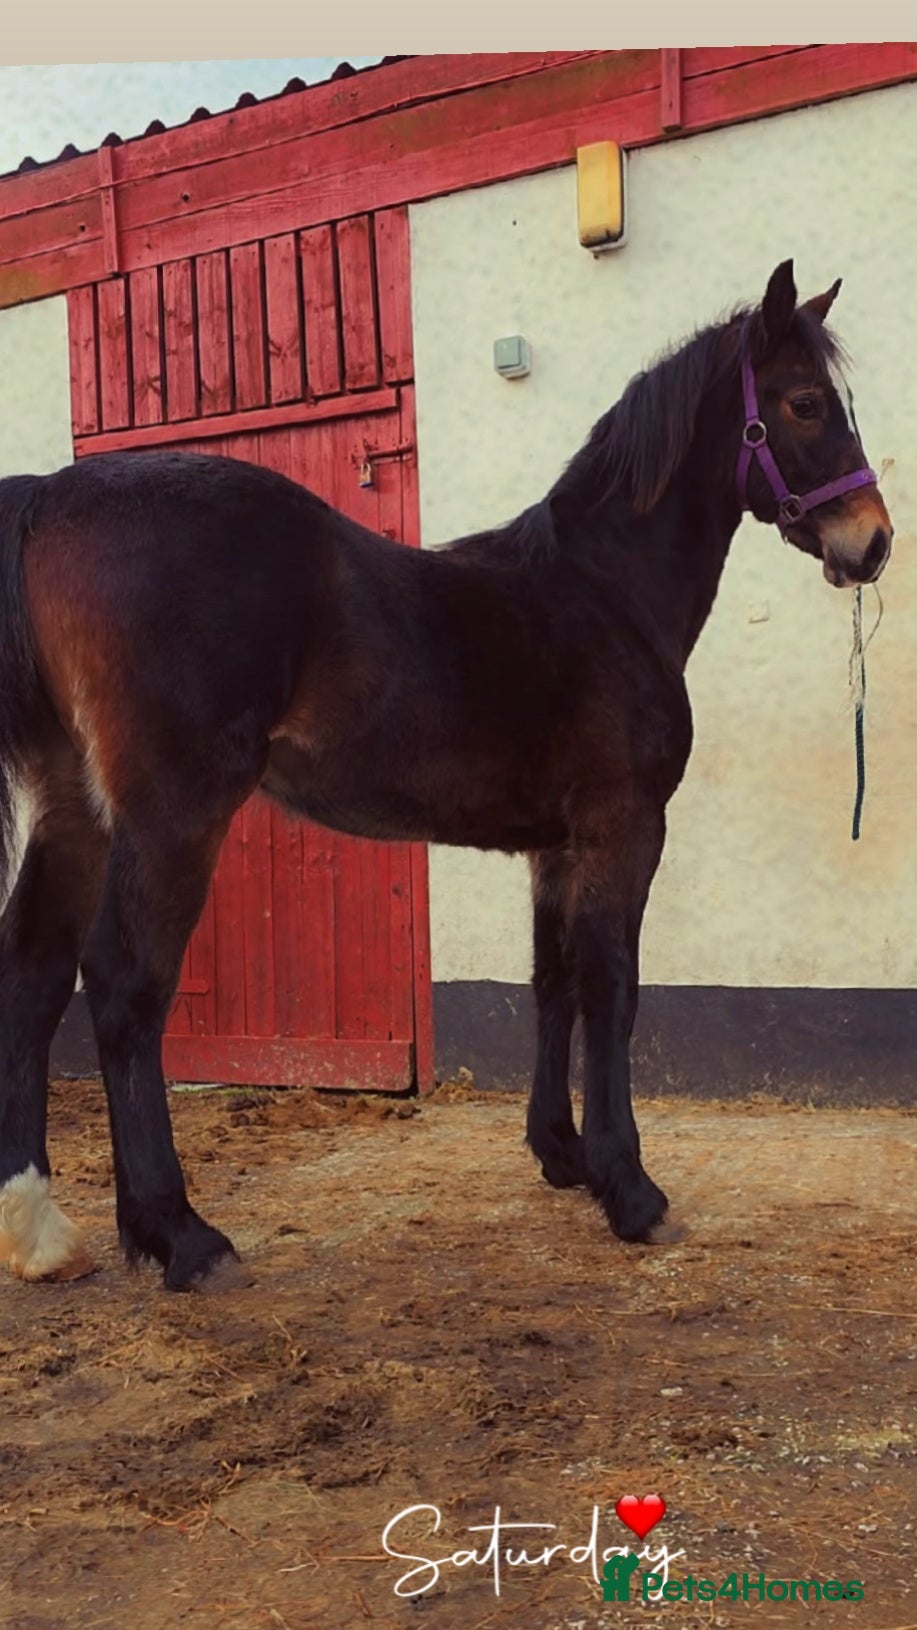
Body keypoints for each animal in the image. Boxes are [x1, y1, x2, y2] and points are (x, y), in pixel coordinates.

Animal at [0, 259, 892, 1293]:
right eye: (802, 402)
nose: (872, 542)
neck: (602, 593)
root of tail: (49, 495)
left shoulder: (554, 847)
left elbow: (553, 982)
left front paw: (563, 1155)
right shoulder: (623, 826)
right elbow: (612, 987)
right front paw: (631, 1192)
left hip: (79, 810)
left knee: (31, 975)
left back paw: (37, 1227)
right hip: (172, 812)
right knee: (123, 985)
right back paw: (181, 1236)